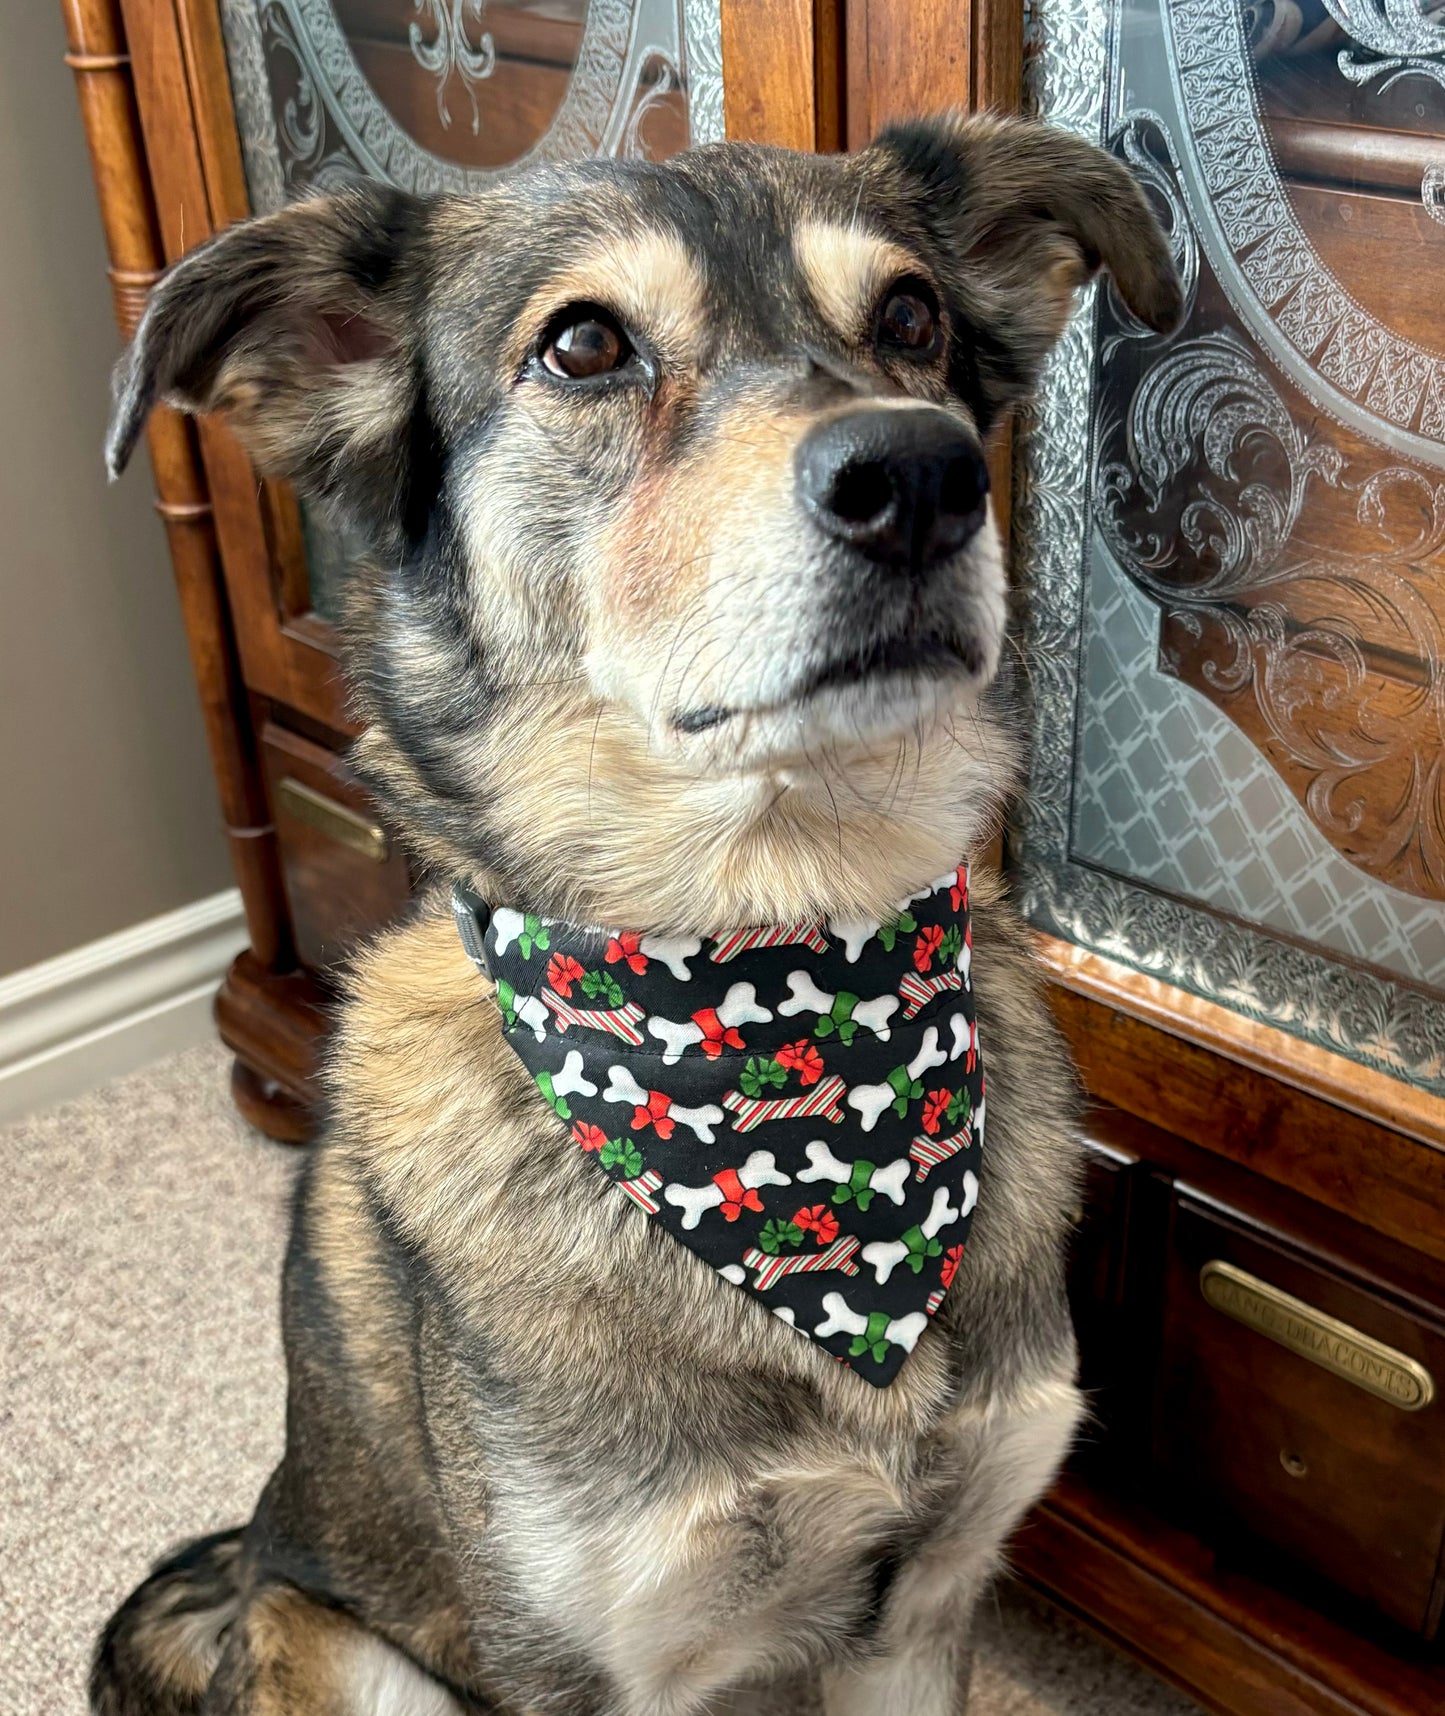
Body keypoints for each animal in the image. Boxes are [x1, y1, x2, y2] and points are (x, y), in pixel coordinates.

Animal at [90, 114, 1173, 1709]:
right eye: (585, 344)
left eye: (911, 317)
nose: (922, 477)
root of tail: (245, 1564)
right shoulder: (598, 1660)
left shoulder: (922, 1614)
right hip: (351, 1653)